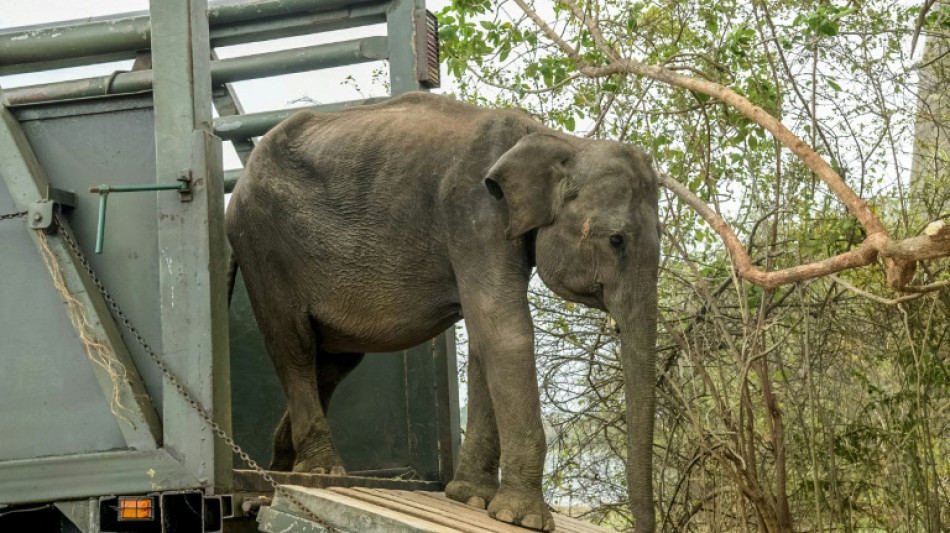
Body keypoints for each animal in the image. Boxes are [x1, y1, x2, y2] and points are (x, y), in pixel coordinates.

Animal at [225, 92, 660, 532]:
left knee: (333, 360)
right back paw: (323, 473)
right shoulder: (473, 216)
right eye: (616, 240)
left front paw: (471, 498)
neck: (559, 141)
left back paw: (284, 468)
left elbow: (485, 338)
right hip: (262, 244)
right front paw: (523, 519)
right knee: (294, 346)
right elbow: (504, 331)